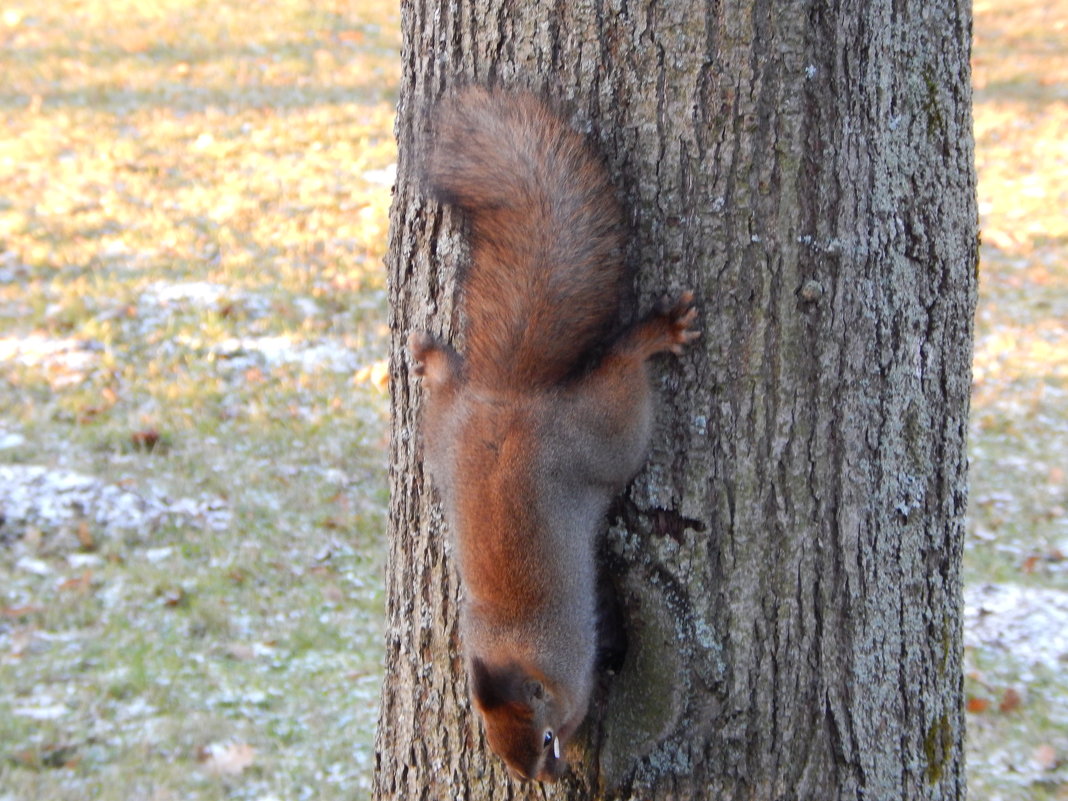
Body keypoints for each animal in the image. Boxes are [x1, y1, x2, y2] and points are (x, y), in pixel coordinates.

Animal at [403, 87, 696, 786]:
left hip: (608, 432)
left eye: (541, 737)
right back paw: (433, 359)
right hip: (447, 436)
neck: (516, 644)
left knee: (623, 367)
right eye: (492, 738)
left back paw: (655, 333)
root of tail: (511, 399)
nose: (543, 777)